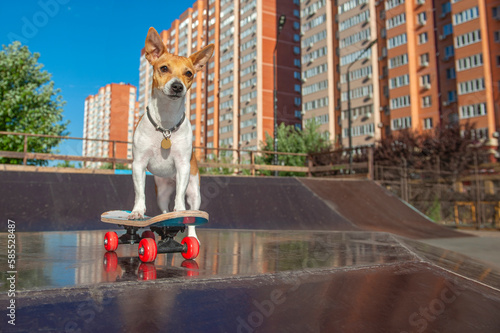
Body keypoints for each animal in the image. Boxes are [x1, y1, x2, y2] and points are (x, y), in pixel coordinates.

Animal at [129, 26, 213, 240]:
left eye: (189, 73)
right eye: (164, 68)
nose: (177, 86)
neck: (165, 125)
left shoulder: (183, 166)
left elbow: (181, 202)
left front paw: (180, 212)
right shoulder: (138, 164)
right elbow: (139, 192)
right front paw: (137, 211)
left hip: (194, 191)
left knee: (190, 213)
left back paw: (192, 236)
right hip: (162, 192)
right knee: (165, 211)